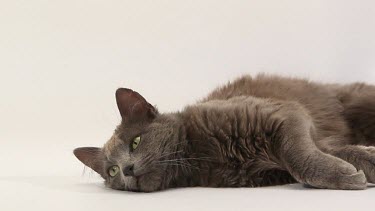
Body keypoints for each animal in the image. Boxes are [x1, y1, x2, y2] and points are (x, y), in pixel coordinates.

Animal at [72, 74, 375, 193]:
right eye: (112, 170)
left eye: (135, 142)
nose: (127, 169)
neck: (199, 155)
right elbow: (329, 151)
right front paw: (360, 165)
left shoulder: (282, 113)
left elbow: (299, 156)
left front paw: (354, 169)